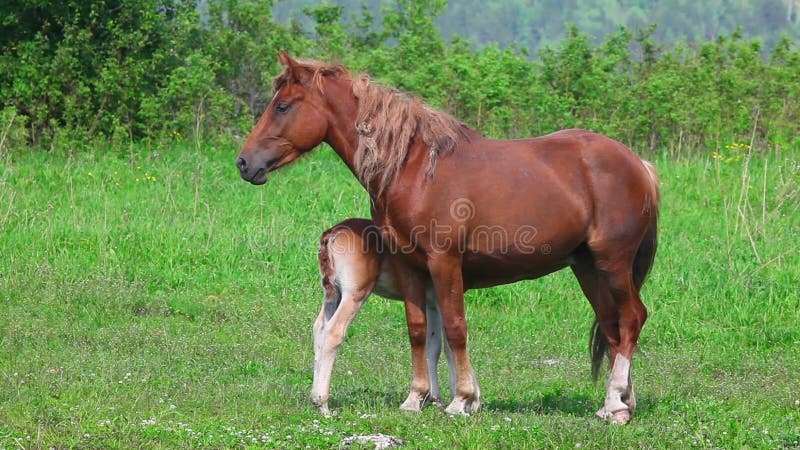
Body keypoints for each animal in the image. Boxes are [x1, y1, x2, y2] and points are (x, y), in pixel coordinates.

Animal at [234, 52, 660, 426]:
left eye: (283, 106)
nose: (244, 163)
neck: (416, 167)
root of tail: (639, 165)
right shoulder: (409, 265)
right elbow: (419, 330)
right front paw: (416, 398)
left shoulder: (444, 262)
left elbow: (455, 329)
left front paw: (461, 401)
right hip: (586, 267)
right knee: (612, 326)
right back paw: (617, 405)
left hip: (612, 263)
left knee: (632, 318)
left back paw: (616, 403)